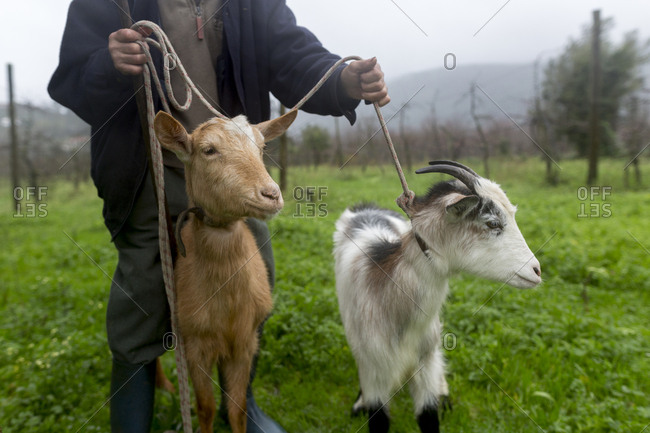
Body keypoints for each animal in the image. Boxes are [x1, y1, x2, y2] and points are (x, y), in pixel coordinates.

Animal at [153, 109, 297, 433]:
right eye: (209, 150)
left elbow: (237, 408)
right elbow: (205, 408)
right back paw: (165, 388)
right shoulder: (194, 345)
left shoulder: (245, 340)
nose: (271, 194)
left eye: (261, 147)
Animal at [333, 161, 542, 433]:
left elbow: (428, 416)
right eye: (493, 223)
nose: (536, 271)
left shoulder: (425, 363)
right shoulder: (374, 368)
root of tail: (365, 206)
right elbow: (378, 419)